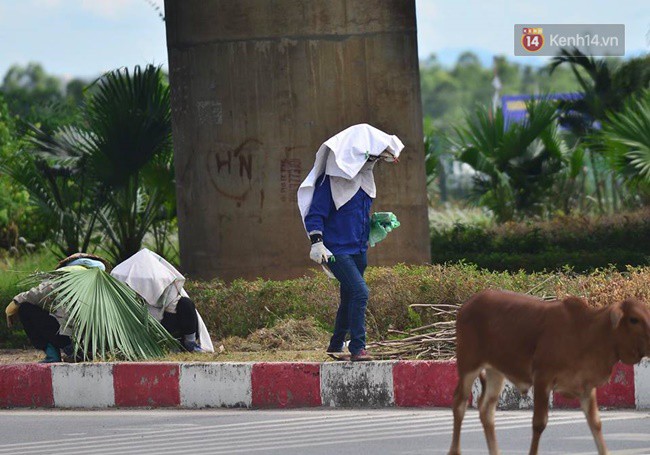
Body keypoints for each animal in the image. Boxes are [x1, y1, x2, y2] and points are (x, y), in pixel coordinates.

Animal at [446, 290, 648, 454]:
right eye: (634, 319)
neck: (586, 333)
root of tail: (468, 304)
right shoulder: (542, 378)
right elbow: (539, 423)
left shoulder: (586, 386)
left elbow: (596, 423)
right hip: (468, 365)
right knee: (459, 403)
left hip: (495, 371)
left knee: (486, 409)